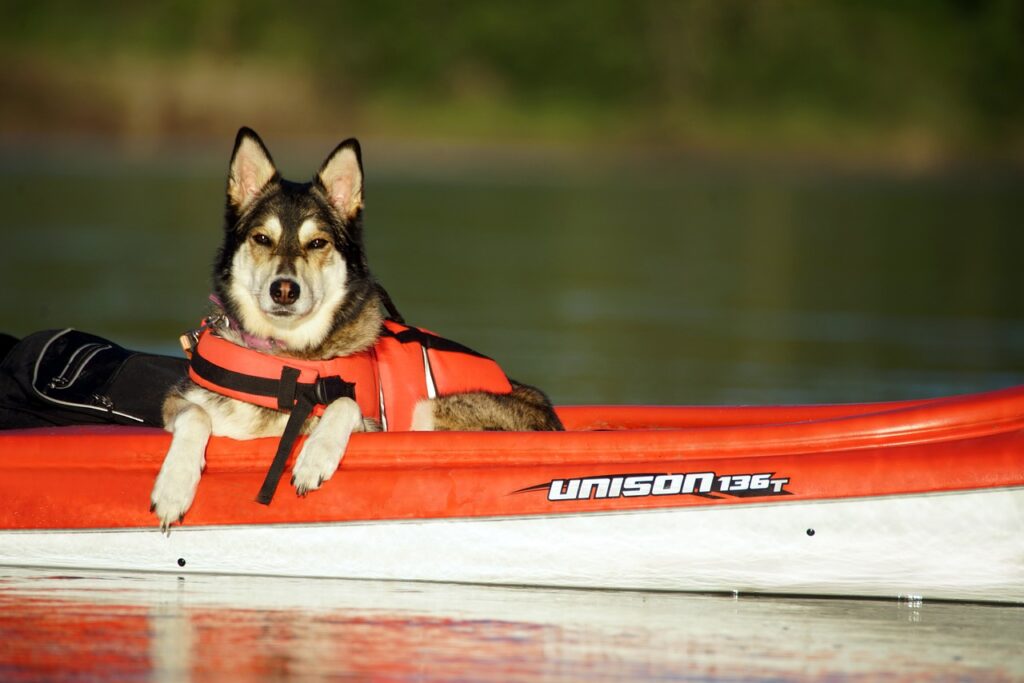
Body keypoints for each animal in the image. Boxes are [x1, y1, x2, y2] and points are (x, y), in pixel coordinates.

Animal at [151, 131, 565, 532]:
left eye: (318, 243)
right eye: (262, 239)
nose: (284, 290)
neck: (285, 362)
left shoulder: (370, 425)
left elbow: (345, 403)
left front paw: (315, 457)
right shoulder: (177, 402)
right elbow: (195, 415)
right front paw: (173, 487)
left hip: (430, 409)